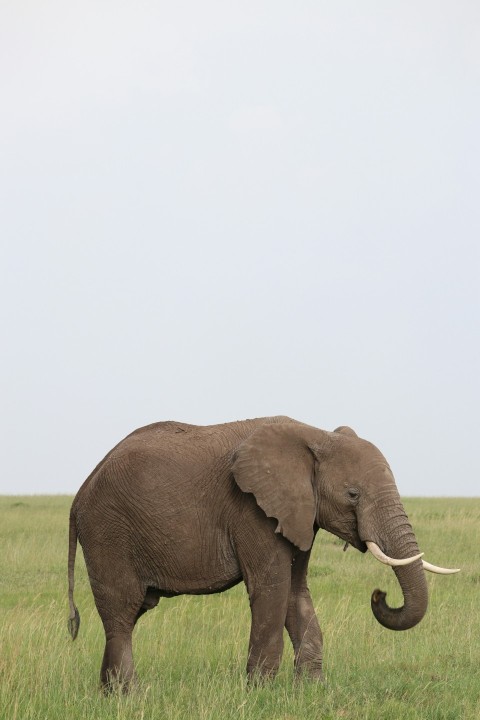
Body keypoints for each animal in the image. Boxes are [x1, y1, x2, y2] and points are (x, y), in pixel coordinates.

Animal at [67, 416, 458, 690]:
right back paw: (129, 696)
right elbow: (272, 589)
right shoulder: (252, 510)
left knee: (129, 615)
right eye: (352, 494)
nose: (380, 594)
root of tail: (80, 492)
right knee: (122, 612)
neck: (314, 435)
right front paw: (260, 694)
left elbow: (296, 592)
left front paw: (311, 692)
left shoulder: (299, 514)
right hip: (107, 533)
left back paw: (110, 694)